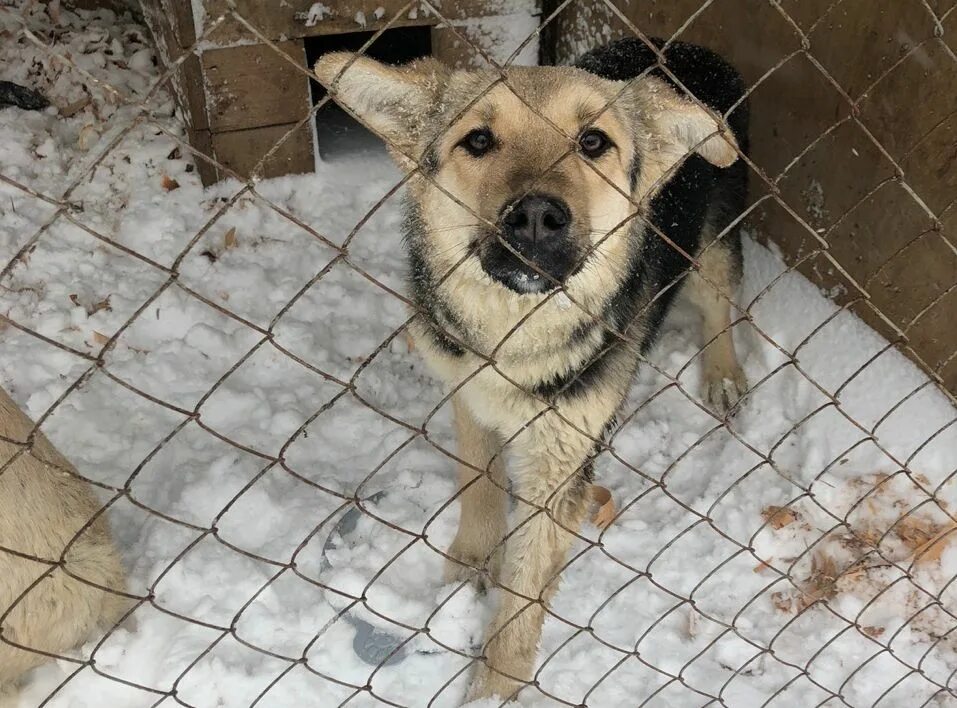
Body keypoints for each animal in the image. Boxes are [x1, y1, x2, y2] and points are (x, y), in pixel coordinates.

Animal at [318, 36, 752, 700]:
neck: (515, 338)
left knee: (719, 302)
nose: (536, 217)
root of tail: (690, 47)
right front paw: (471, 562)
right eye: (478, 140)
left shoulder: (561, 465)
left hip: (710, 246)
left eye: (594, 142)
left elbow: (524, 591)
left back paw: (724, 374)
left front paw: (496, 687)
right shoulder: (468, 397)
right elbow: (478, 484)